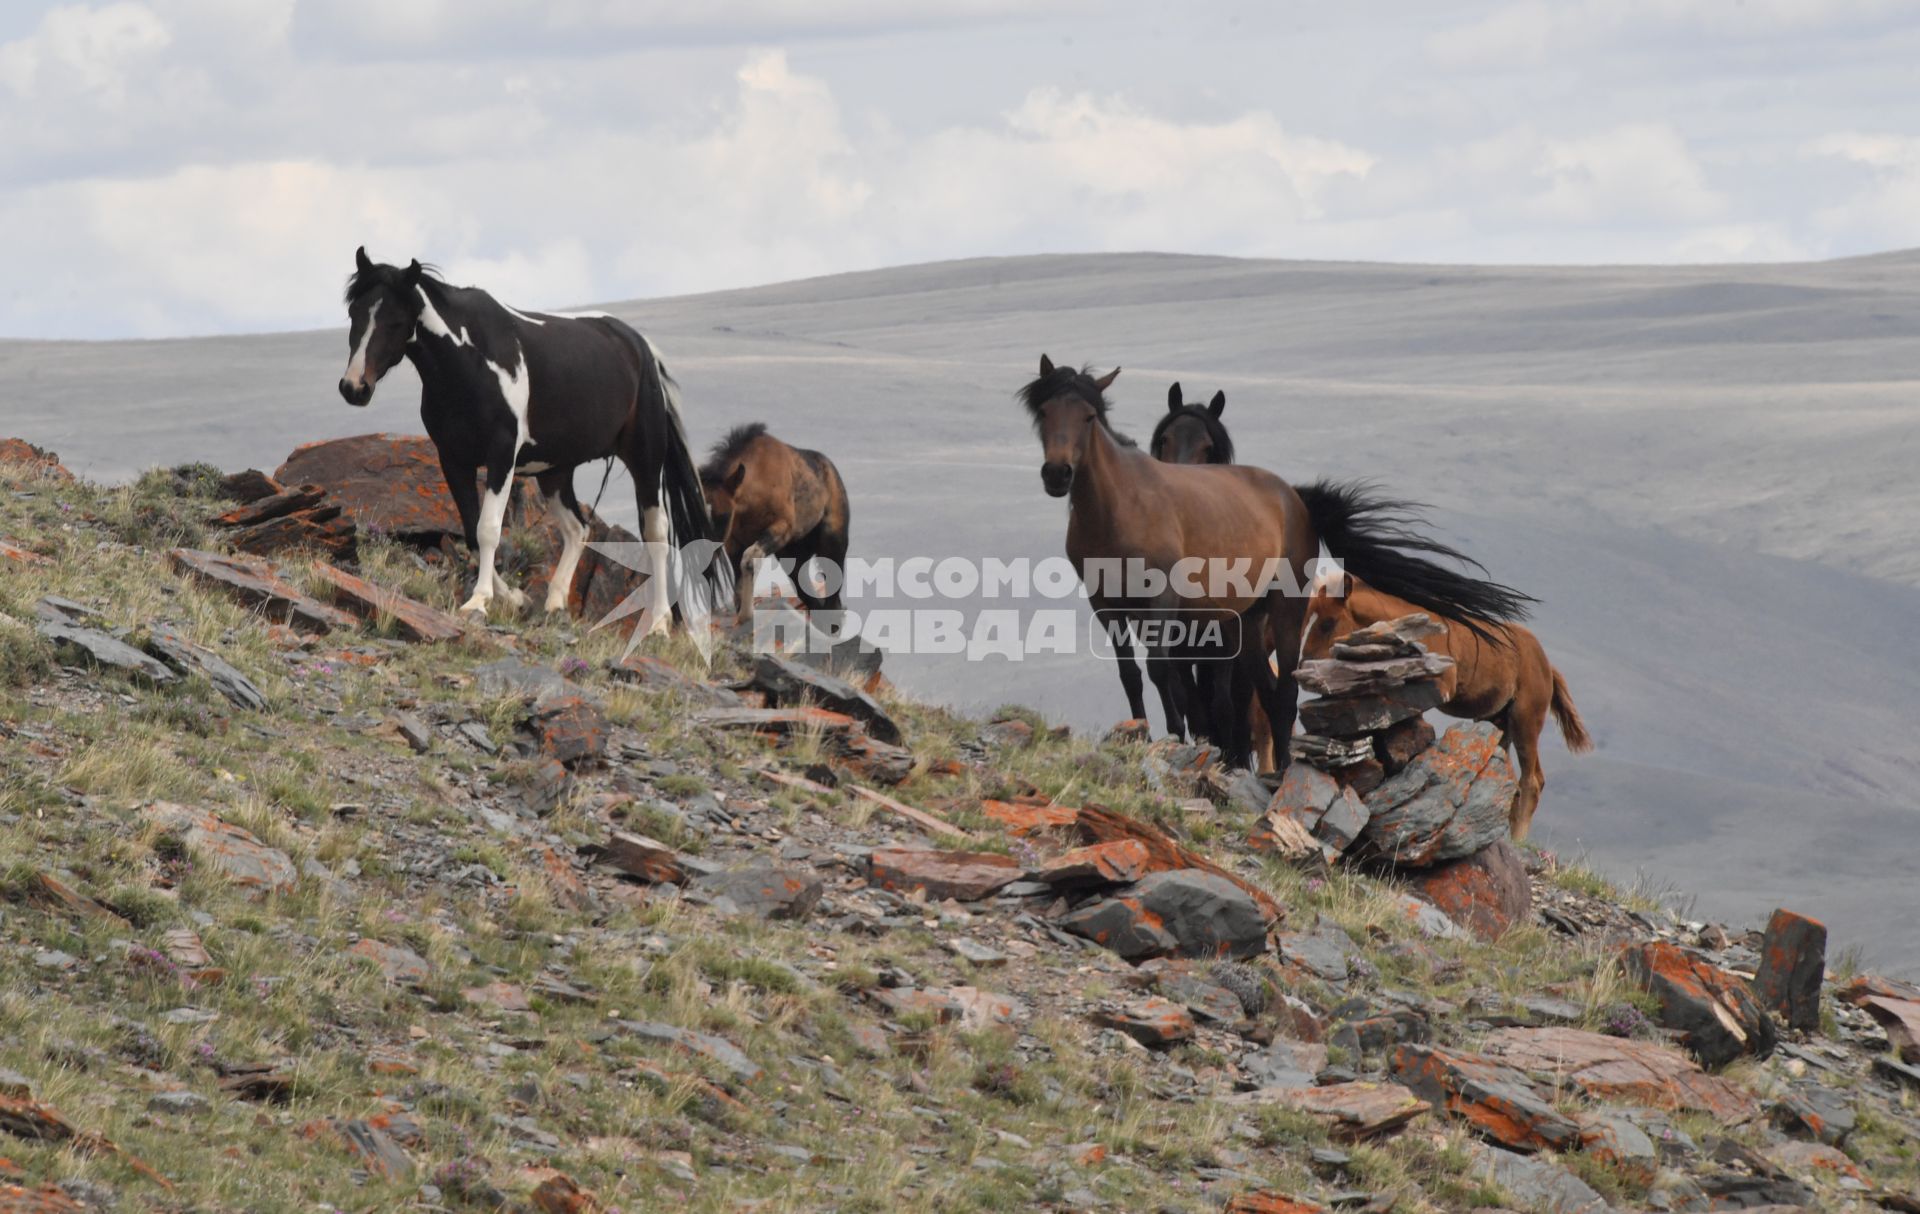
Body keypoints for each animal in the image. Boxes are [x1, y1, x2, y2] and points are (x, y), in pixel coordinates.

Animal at [334, 245, 721, 626]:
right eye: (354, 313)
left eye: (397, 320)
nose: (354, 388)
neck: (469, 362)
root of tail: (640, 348)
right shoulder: (453, 459)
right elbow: (471, 530)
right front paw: (515, 599)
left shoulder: (502, 454)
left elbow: (488, 528)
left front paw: (479, 602)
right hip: (556, 471)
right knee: (577, 529)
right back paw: (554, 603)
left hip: (645, 458)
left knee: (656, 533)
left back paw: (659, 623)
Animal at [698, 426, 848, 614]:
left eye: (723, 515)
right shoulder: (734, 543)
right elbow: (738, 585)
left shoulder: (782, 528)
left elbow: (750, 560)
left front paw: (747, 614)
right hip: (792, 555)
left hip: (833, 544)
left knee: (832, 597)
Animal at [1021, 353, 1320, 768]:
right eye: (1045, 411)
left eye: (1089, 417)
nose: (1057, 473)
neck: (1118, 508)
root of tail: (1292, 497)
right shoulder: (1105, 605)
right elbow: (1130, 674)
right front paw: (1139, 734)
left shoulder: (1161, 600)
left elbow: (1161, 670)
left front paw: (1175, 734)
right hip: (1245, 620)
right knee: (1268, 692)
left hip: (1286, 609)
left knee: (1286, 694)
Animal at [1297, 568, 1597, 833]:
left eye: (1327, 623)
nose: (1302, 667)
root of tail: (1547, 665)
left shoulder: (1442, 683)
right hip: (1497, 721)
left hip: (1525, 719)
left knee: (1532, 781)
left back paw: (1518, 840)